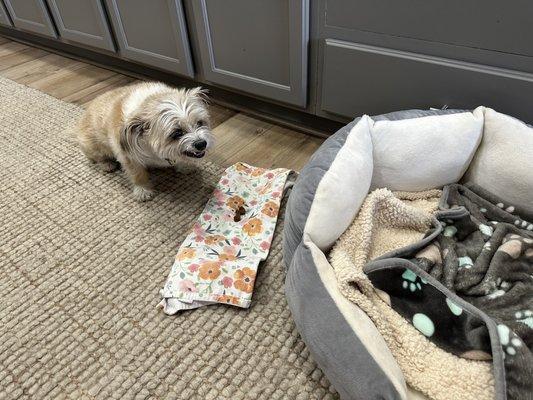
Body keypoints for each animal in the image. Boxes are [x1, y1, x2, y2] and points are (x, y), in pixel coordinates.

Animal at [77, 81, 214, 202]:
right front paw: (143, 190)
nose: (201, 144)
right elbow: (138, 175)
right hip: (92, 146)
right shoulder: (129, 158)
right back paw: (107, 164)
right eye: (177, 133)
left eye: (200, 123)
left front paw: (184, 166)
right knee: (97, 157)